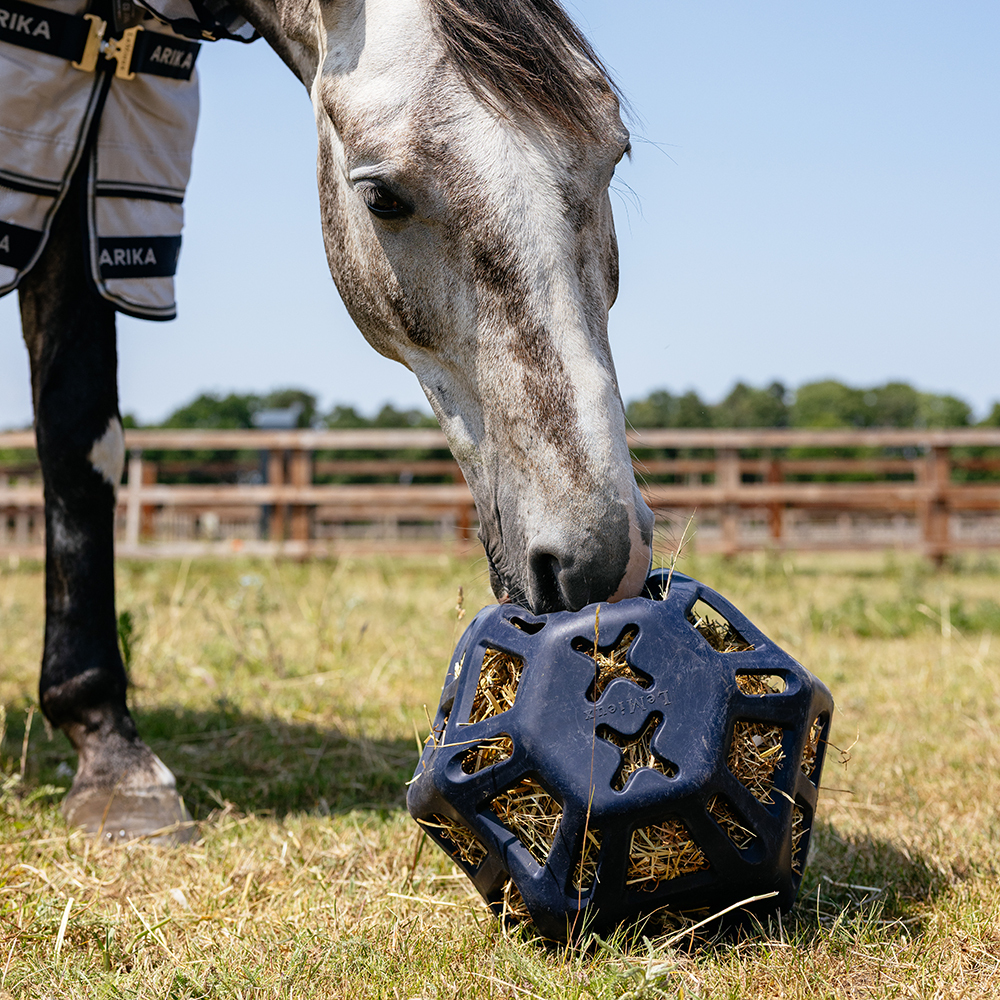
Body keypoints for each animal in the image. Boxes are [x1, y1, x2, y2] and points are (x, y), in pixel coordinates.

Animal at [16, 0, 655, 840]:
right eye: (381, 196)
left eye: (616, 153)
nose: (599, 561)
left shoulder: (88, 157)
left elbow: (79, 439)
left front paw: (110, 757)